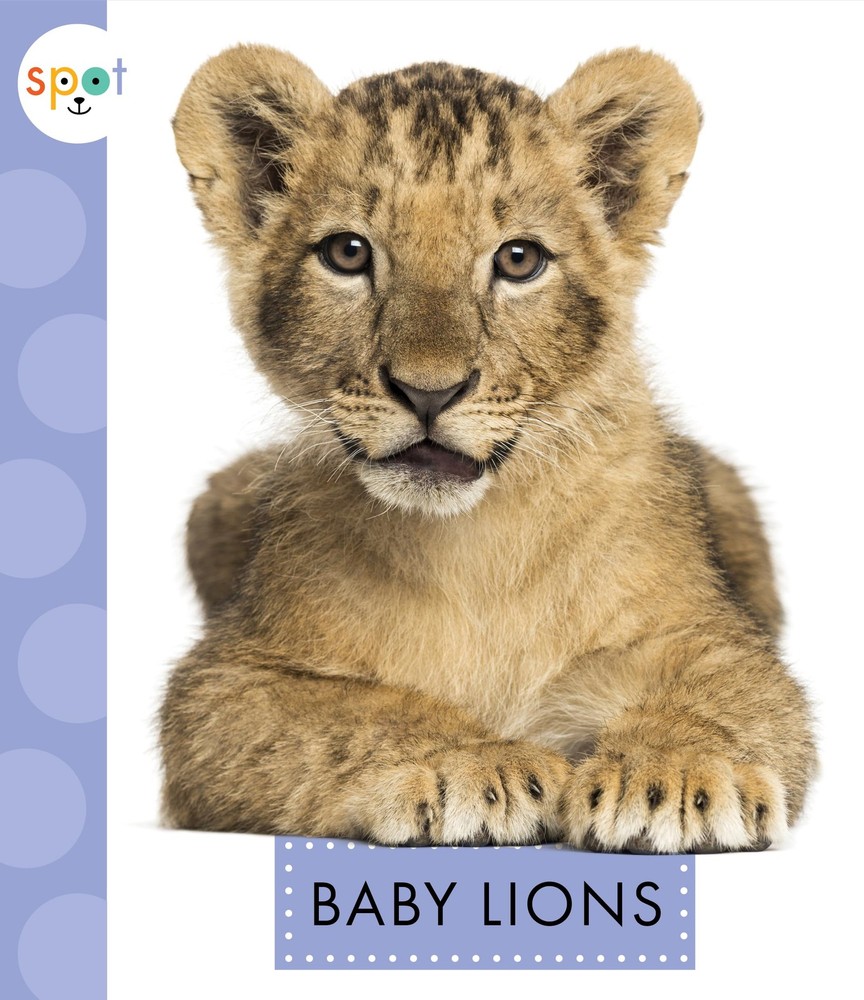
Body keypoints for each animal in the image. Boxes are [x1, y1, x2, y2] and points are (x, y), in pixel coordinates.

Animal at [160, 45, 816, 852]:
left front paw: (681, 775)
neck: (475, 543)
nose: (429, 392)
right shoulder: (225, 681)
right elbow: (357, 715)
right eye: (347, 253)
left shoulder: (719, 638)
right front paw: (470, 762)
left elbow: (725, 695)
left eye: (519, 259)